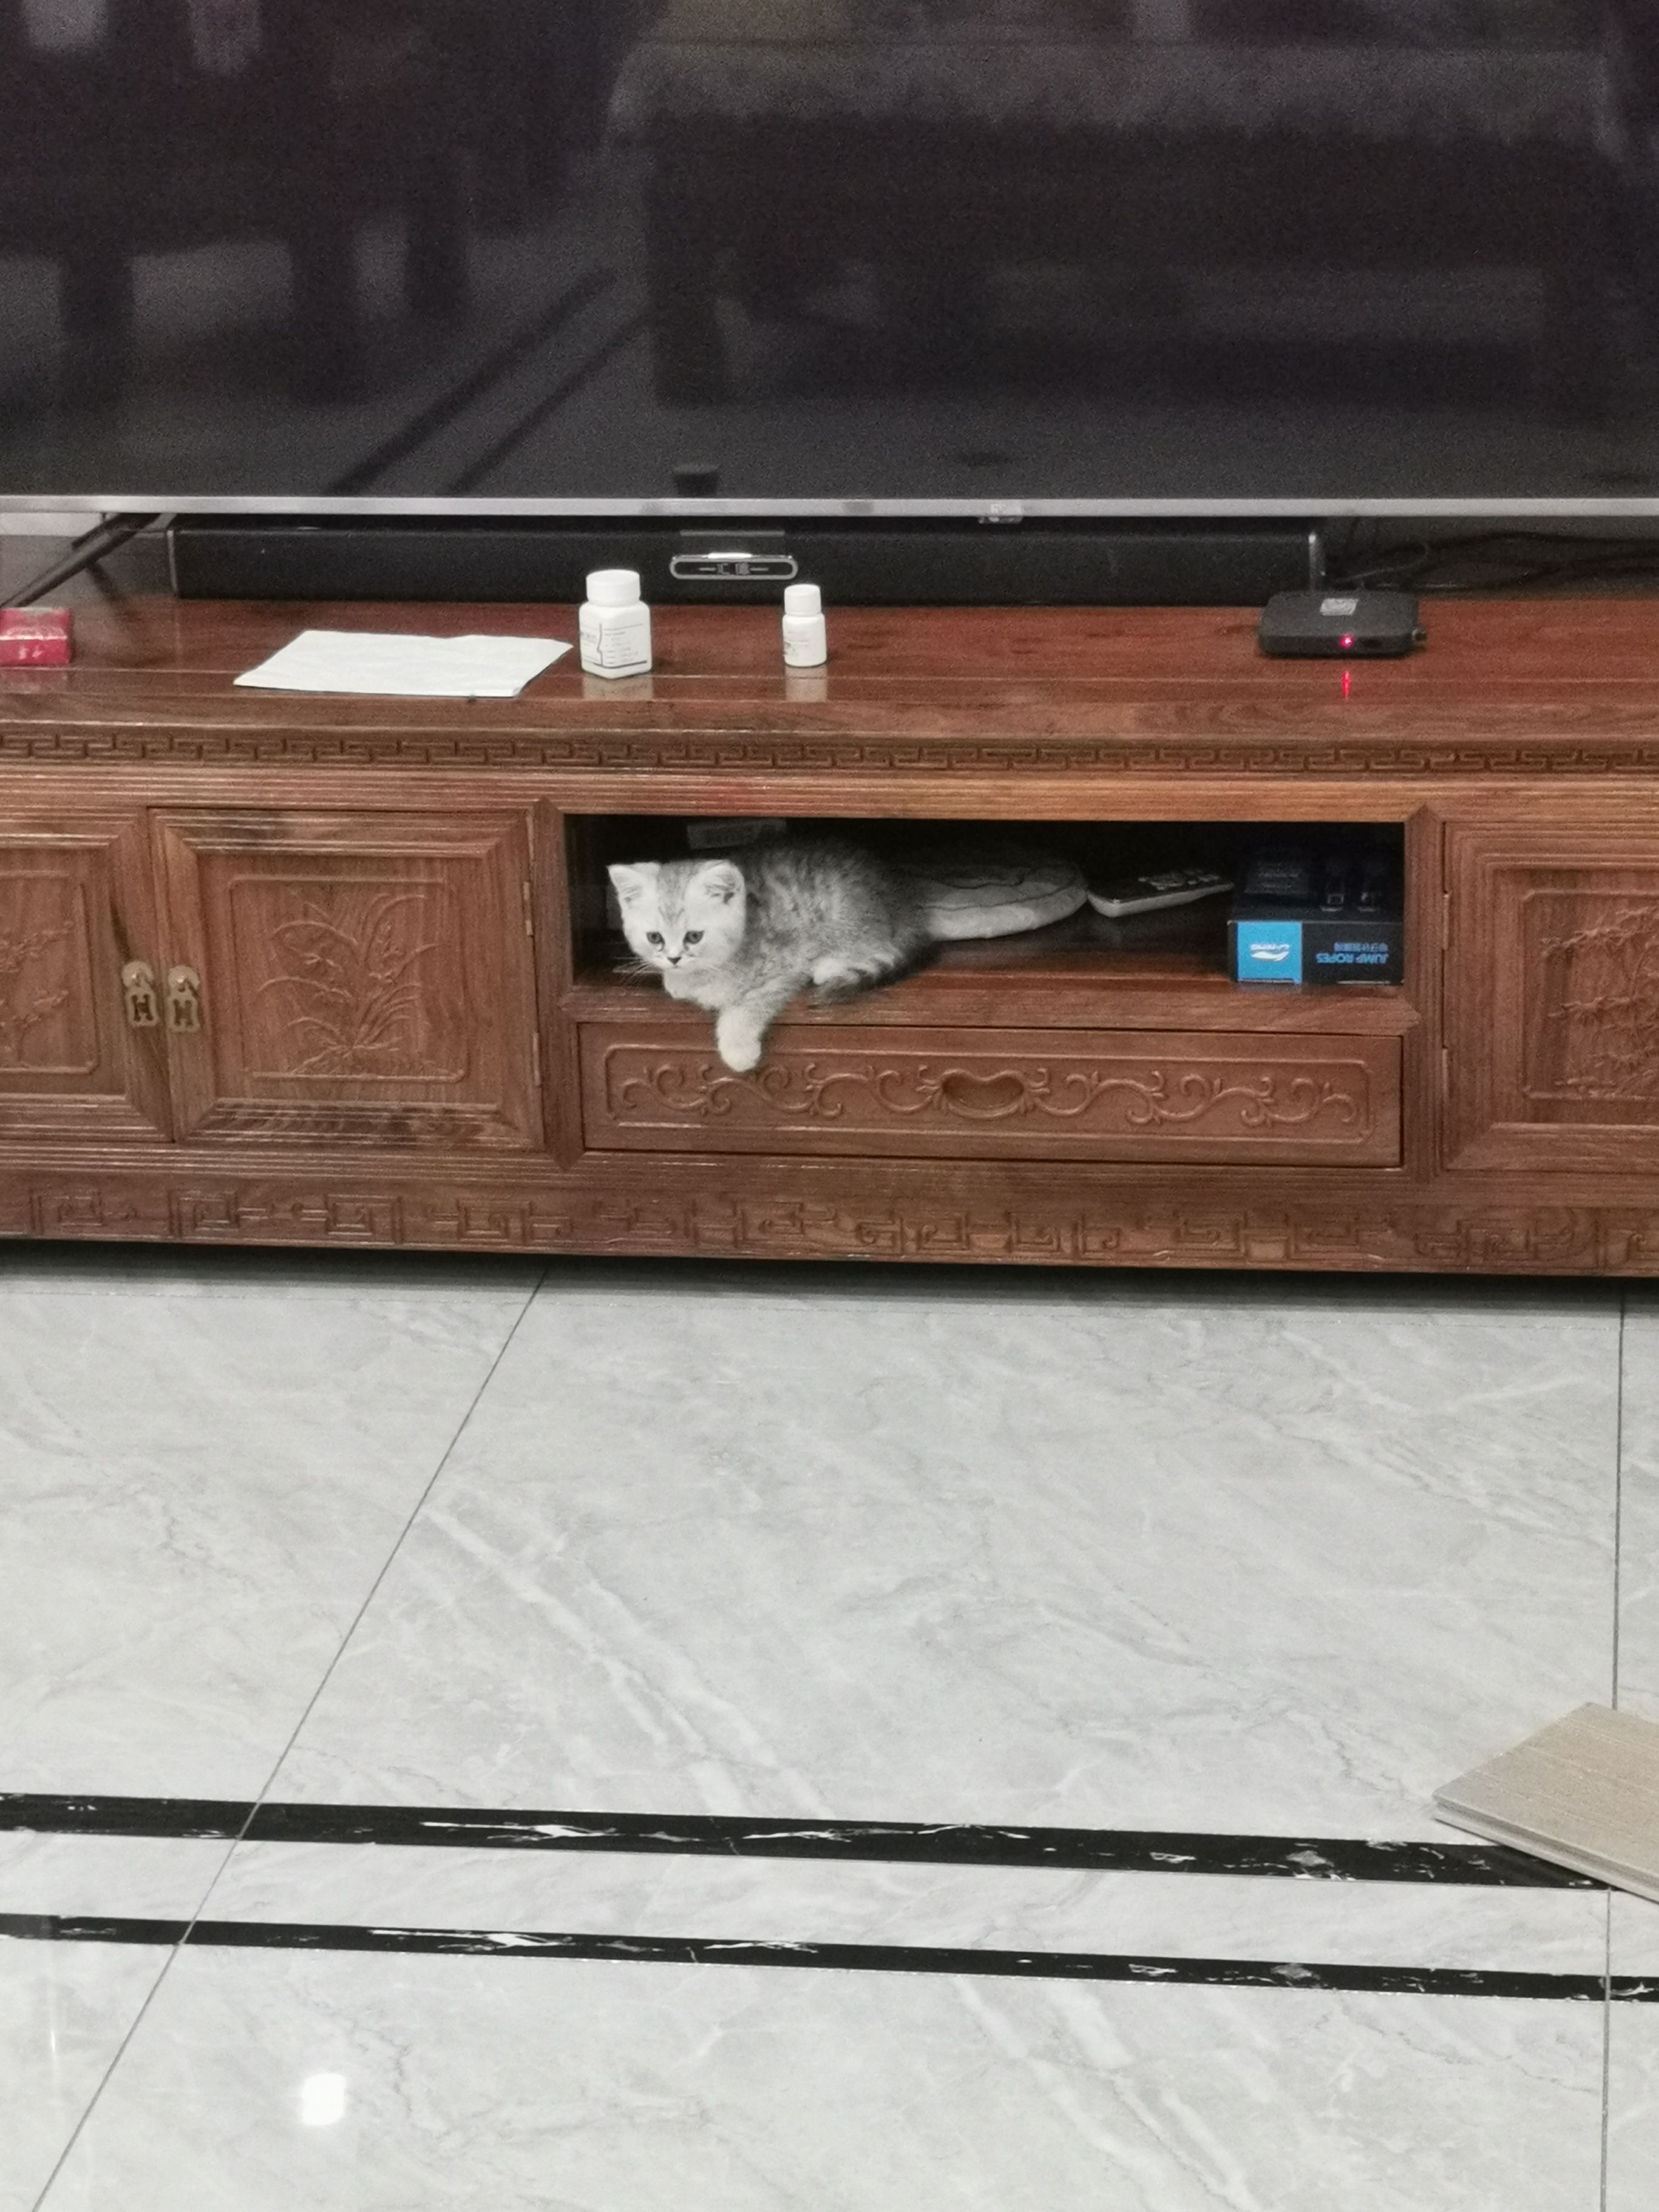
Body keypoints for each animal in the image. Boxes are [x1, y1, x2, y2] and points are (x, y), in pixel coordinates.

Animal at [609, 837, 931, 1072]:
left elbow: (750, 1004)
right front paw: (674, 981)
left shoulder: (786, 964)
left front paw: (738, 1050)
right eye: (655, 938)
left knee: (877, 946)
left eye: (694, 937)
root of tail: (901, 900)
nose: (674, 958)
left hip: (844, 918)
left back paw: (830, 964)